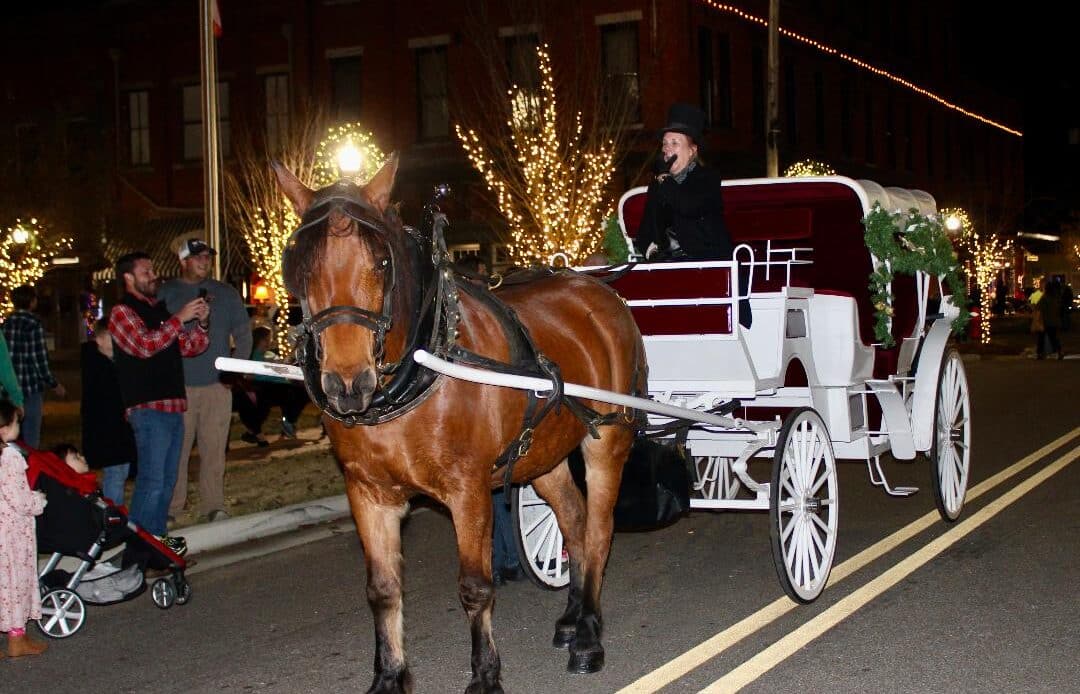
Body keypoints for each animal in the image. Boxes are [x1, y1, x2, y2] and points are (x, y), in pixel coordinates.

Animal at [274, 157, 643, 694]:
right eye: (299, 265)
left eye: (380, 264)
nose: (347, 383)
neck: (423, 365)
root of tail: (598, 288)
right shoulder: (367, 492)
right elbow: (383, 589)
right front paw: (389, 677)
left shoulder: (467, 490)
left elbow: (475, 587)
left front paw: (486, 675)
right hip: (541, 454)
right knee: (573, 523)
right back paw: (573, 617)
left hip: (609, 439)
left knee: (598, 528)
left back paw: (589, 636)